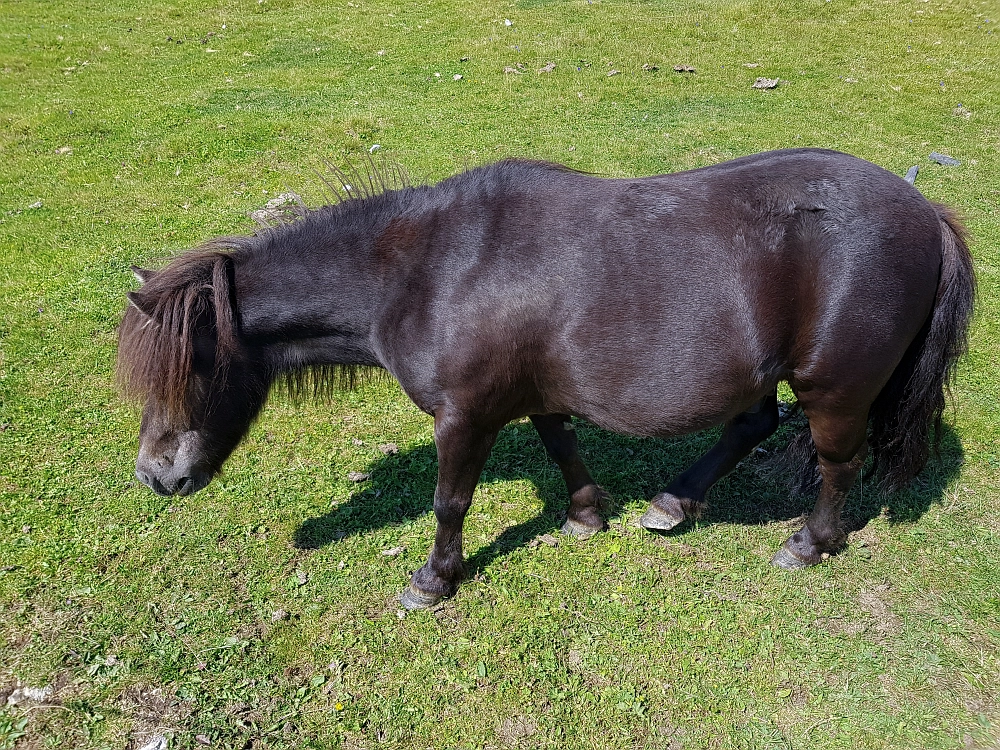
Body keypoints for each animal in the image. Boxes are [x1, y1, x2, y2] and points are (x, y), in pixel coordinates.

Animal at [115, 148, 968, 612]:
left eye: (192, 366)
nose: (155, 476)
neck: (428, 272)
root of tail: (924, 210)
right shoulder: (534, 395)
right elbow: (562, 446)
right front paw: (588, 514)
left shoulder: (465, 414)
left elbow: (450, 500)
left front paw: (434, 581)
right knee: (753, 424)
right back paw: (673, 502)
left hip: (834, 389)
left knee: (837, 462)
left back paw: (810, 543)